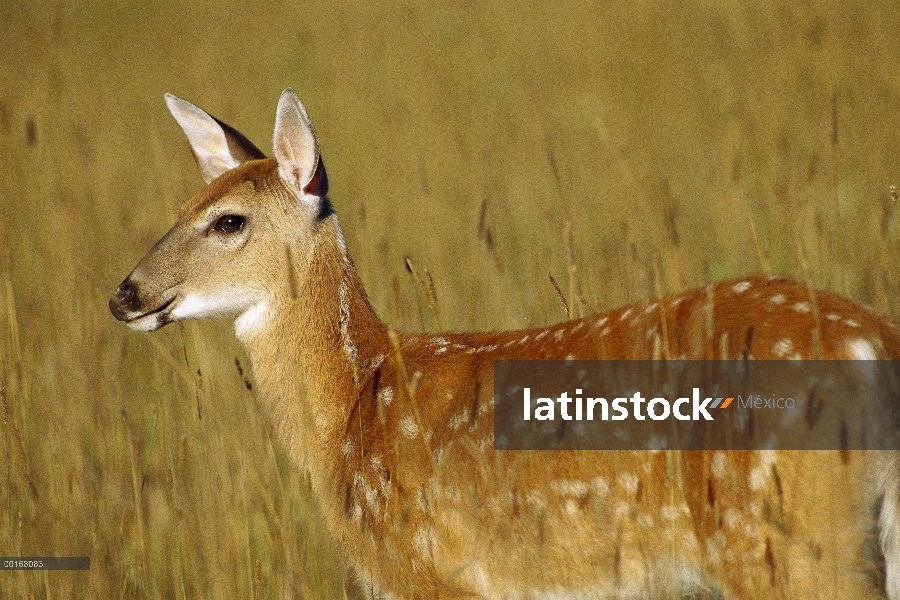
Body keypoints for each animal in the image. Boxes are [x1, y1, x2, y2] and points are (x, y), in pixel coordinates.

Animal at [110, 89, 900, 600]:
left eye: (228, 222)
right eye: (183, 206)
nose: (125, 294)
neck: (354, 405)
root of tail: (873, 349)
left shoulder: (429, 571)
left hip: (787, 541)